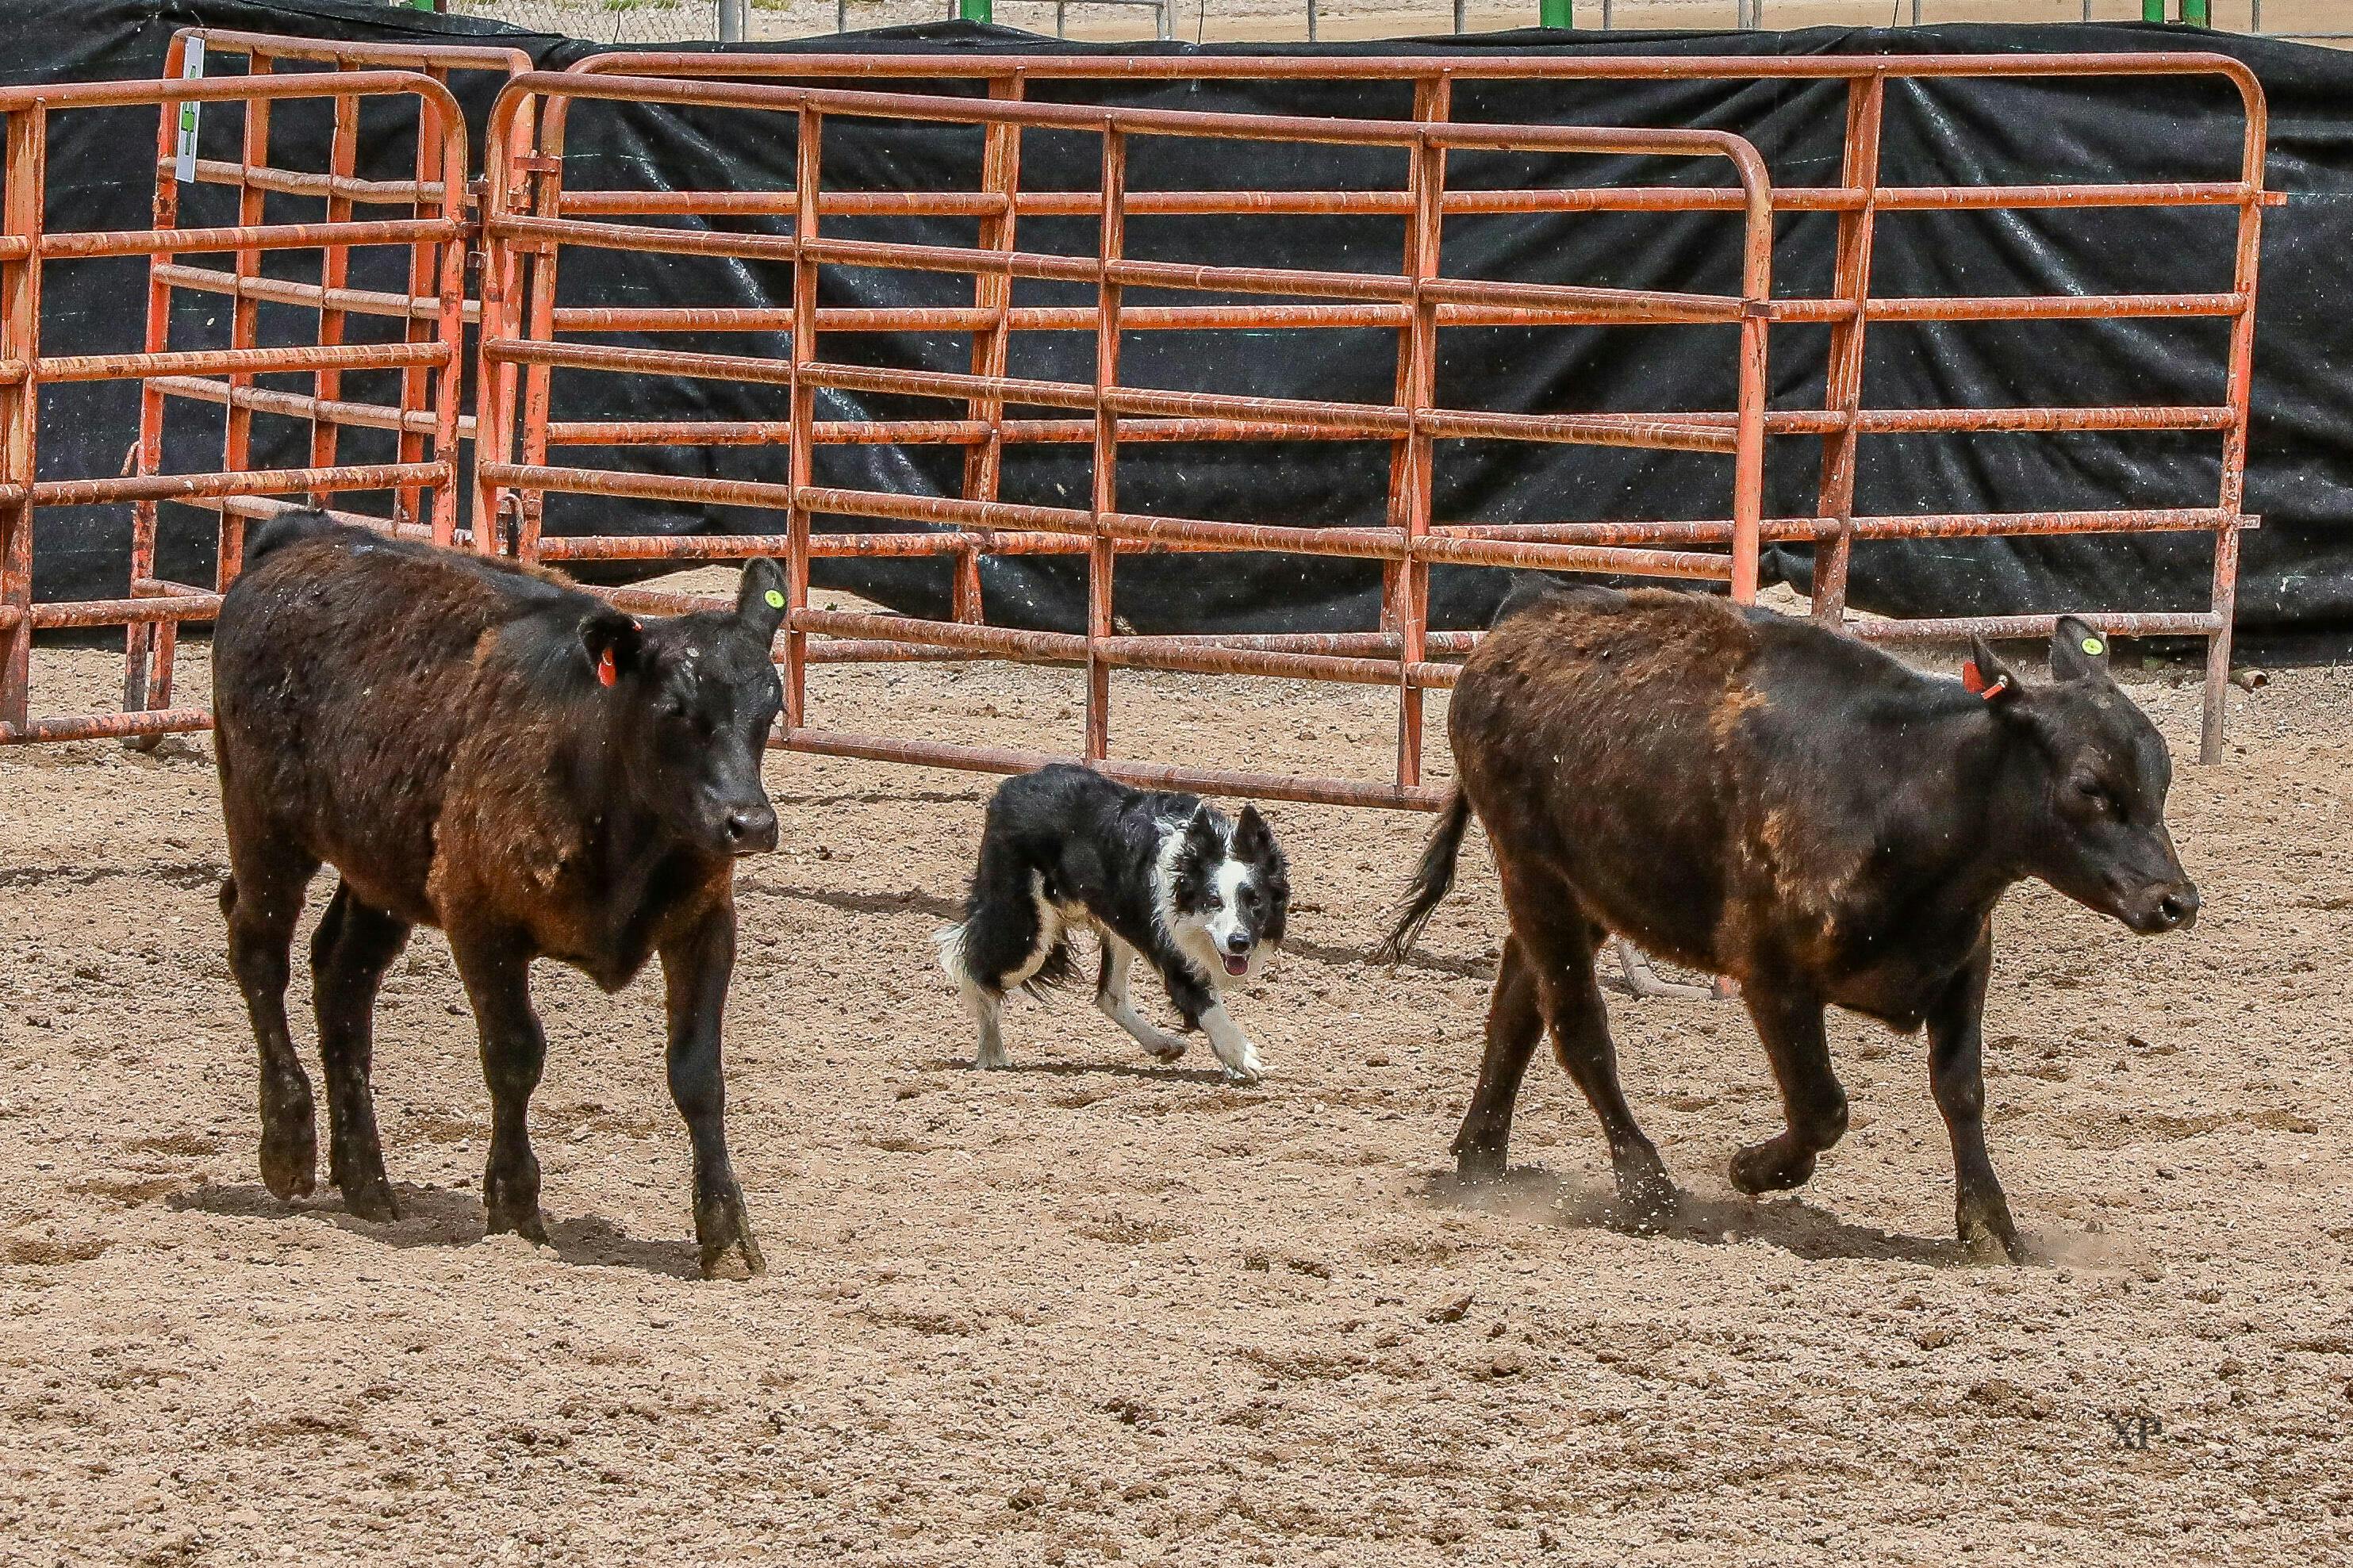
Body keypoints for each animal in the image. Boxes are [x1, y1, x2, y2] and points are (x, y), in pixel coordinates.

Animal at [935, 764, 1289, 1083]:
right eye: (1213, 901)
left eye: (1255, 901)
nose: (1239, 943)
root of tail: (1008, 790)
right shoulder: (1174, 953)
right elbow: (1209, 1008)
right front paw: (1243, 1056)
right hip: (1028, 934)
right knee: (973, 968)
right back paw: (991, 1051)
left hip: (1117, 928)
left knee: (1108, 995)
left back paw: (1161, 1044)